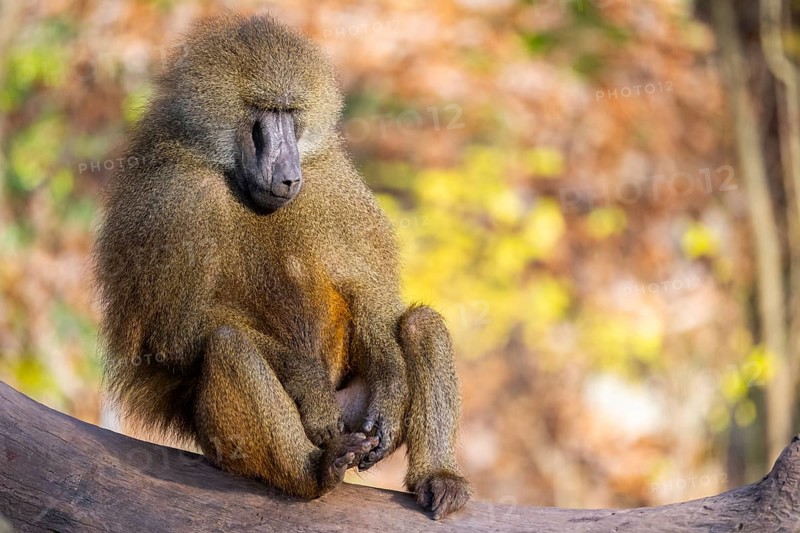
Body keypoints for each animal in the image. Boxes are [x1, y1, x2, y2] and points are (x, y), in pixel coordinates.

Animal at [93, 13, 471, 519]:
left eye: (291, 114)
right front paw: (308, 385)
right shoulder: (175, 200)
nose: (290, 175)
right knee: (228, 344)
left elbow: (373, 298)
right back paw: (314, 471)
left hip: (357, 411)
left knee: (419, 323)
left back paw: (439, 478)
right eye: (263, 113)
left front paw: (392, 394)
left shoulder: (332, 183)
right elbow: (174, 333)